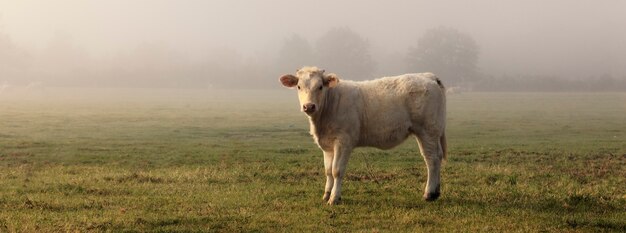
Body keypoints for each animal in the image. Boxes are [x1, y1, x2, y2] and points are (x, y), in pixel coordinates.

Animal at [276, 66, 444, 205]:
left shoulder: (343, 142)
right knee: (438, 156)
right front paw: (326, 194)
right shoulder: (328, 145)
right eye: (299, 86)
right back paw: (436, 192)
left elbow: (337, 170)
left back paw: (429, 194)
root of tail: (428, 75)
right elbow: (328, 171)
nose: (309, 106)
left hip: (427, 130)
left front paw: (334, 198)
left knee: (431, 159)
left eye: (320, 86)